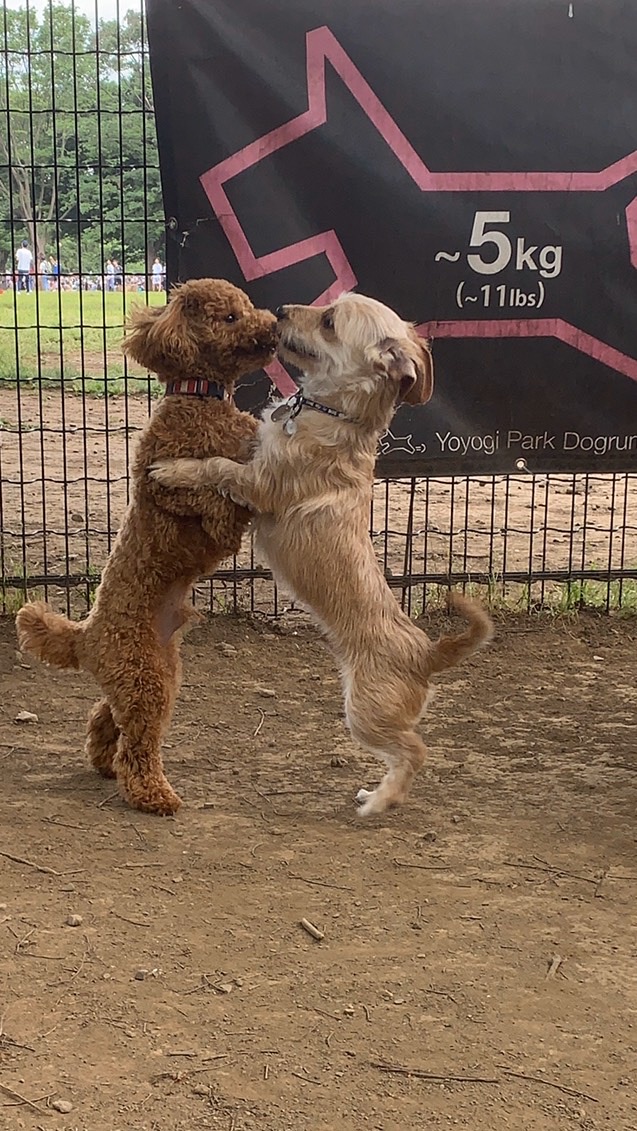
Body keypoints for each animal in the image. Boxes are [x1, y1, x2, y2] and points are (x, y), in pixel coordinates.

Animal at [16, 279, 277, 818]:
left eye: (246, 308)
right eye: (230, 318)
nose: (276, 324)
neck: (199, 398)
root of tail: (86, 637)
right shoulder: (164, 483)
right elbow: (204, 491)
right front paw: (222, 513)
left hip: (153, 676)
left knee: (106, 718)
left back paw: (102, 761)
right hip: (144, 678)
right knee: (138, 743)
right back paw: (151, 794)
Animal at [150, 291, 493, 818]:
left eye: (330, 321)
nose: (279, 312)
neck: (328, 412)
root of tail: (426, 655)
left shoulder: (256, 484)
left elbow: (216, 466)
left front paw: (174, 468)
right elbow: (242, 439)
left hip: (366, 712)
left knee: (414, 752)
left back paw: (378, 801)